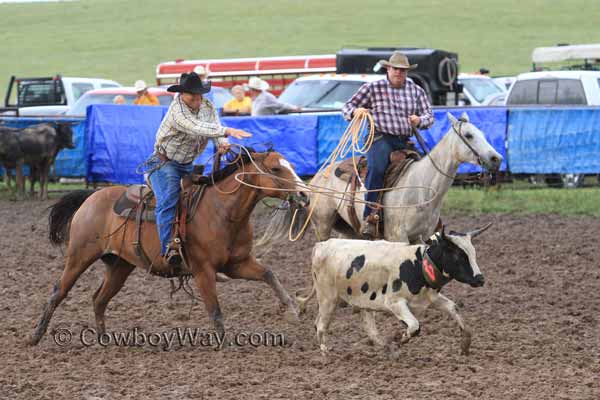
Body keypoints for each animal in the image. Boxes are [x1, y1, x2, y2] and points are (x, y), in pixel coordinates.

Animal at [27, 148, 310, 346]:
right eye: (276, 168)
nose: (305, 194)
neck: (221, 212)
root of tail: (91, 197)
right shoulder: (202, 270)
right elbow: (215, 309)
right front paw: (225, 343)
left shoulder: (237, 264)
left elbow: (269, 275)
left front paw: (293, 310)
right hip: (79, 256)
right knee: (59, 292)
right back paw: (34, 336)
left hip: (120, 266)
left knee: (99, 299)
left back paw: (104, 339)